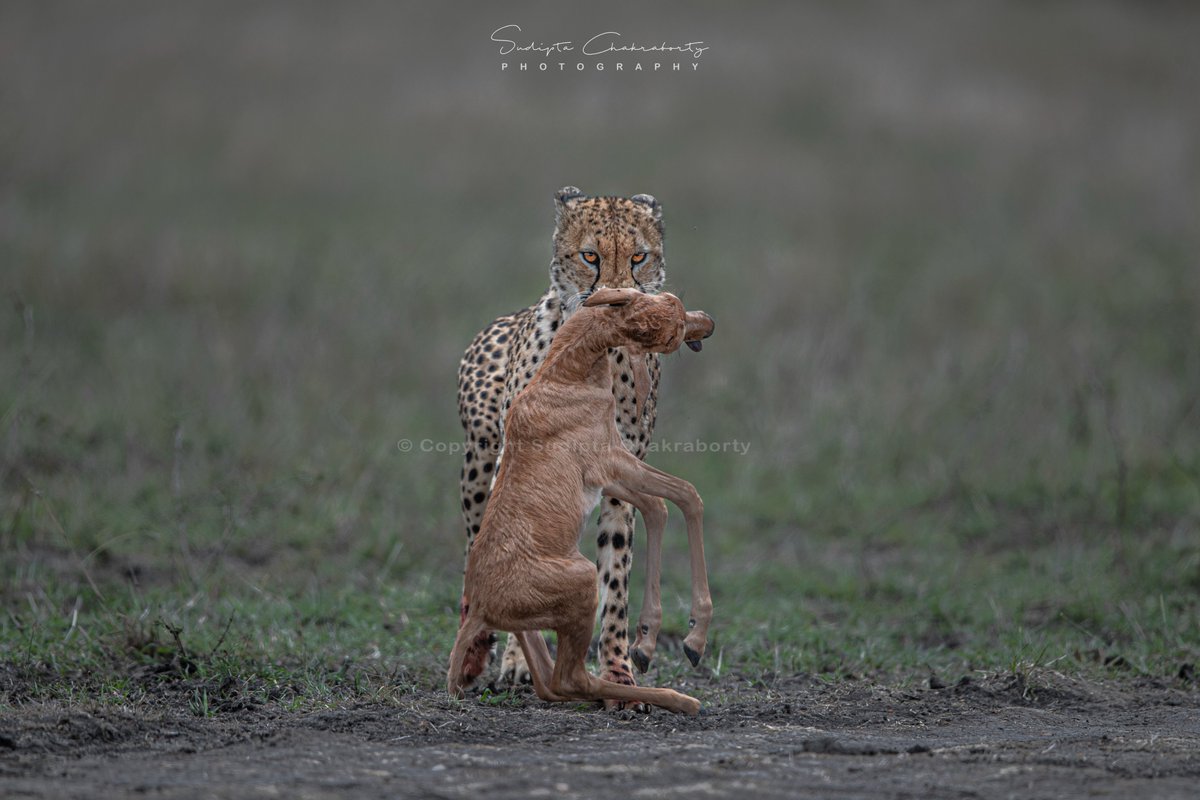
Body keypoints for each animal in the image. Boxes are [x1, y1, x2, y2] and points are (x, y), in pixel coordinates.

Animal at [456, 188, 672, 700]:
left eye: (638, 257)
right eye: (590, 256)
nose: (619, 300)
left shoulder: (621, 475)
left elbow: (616, 581)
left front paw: (619, 674)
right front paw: (518, 661)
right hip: (478, 468)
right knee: (480, 553)